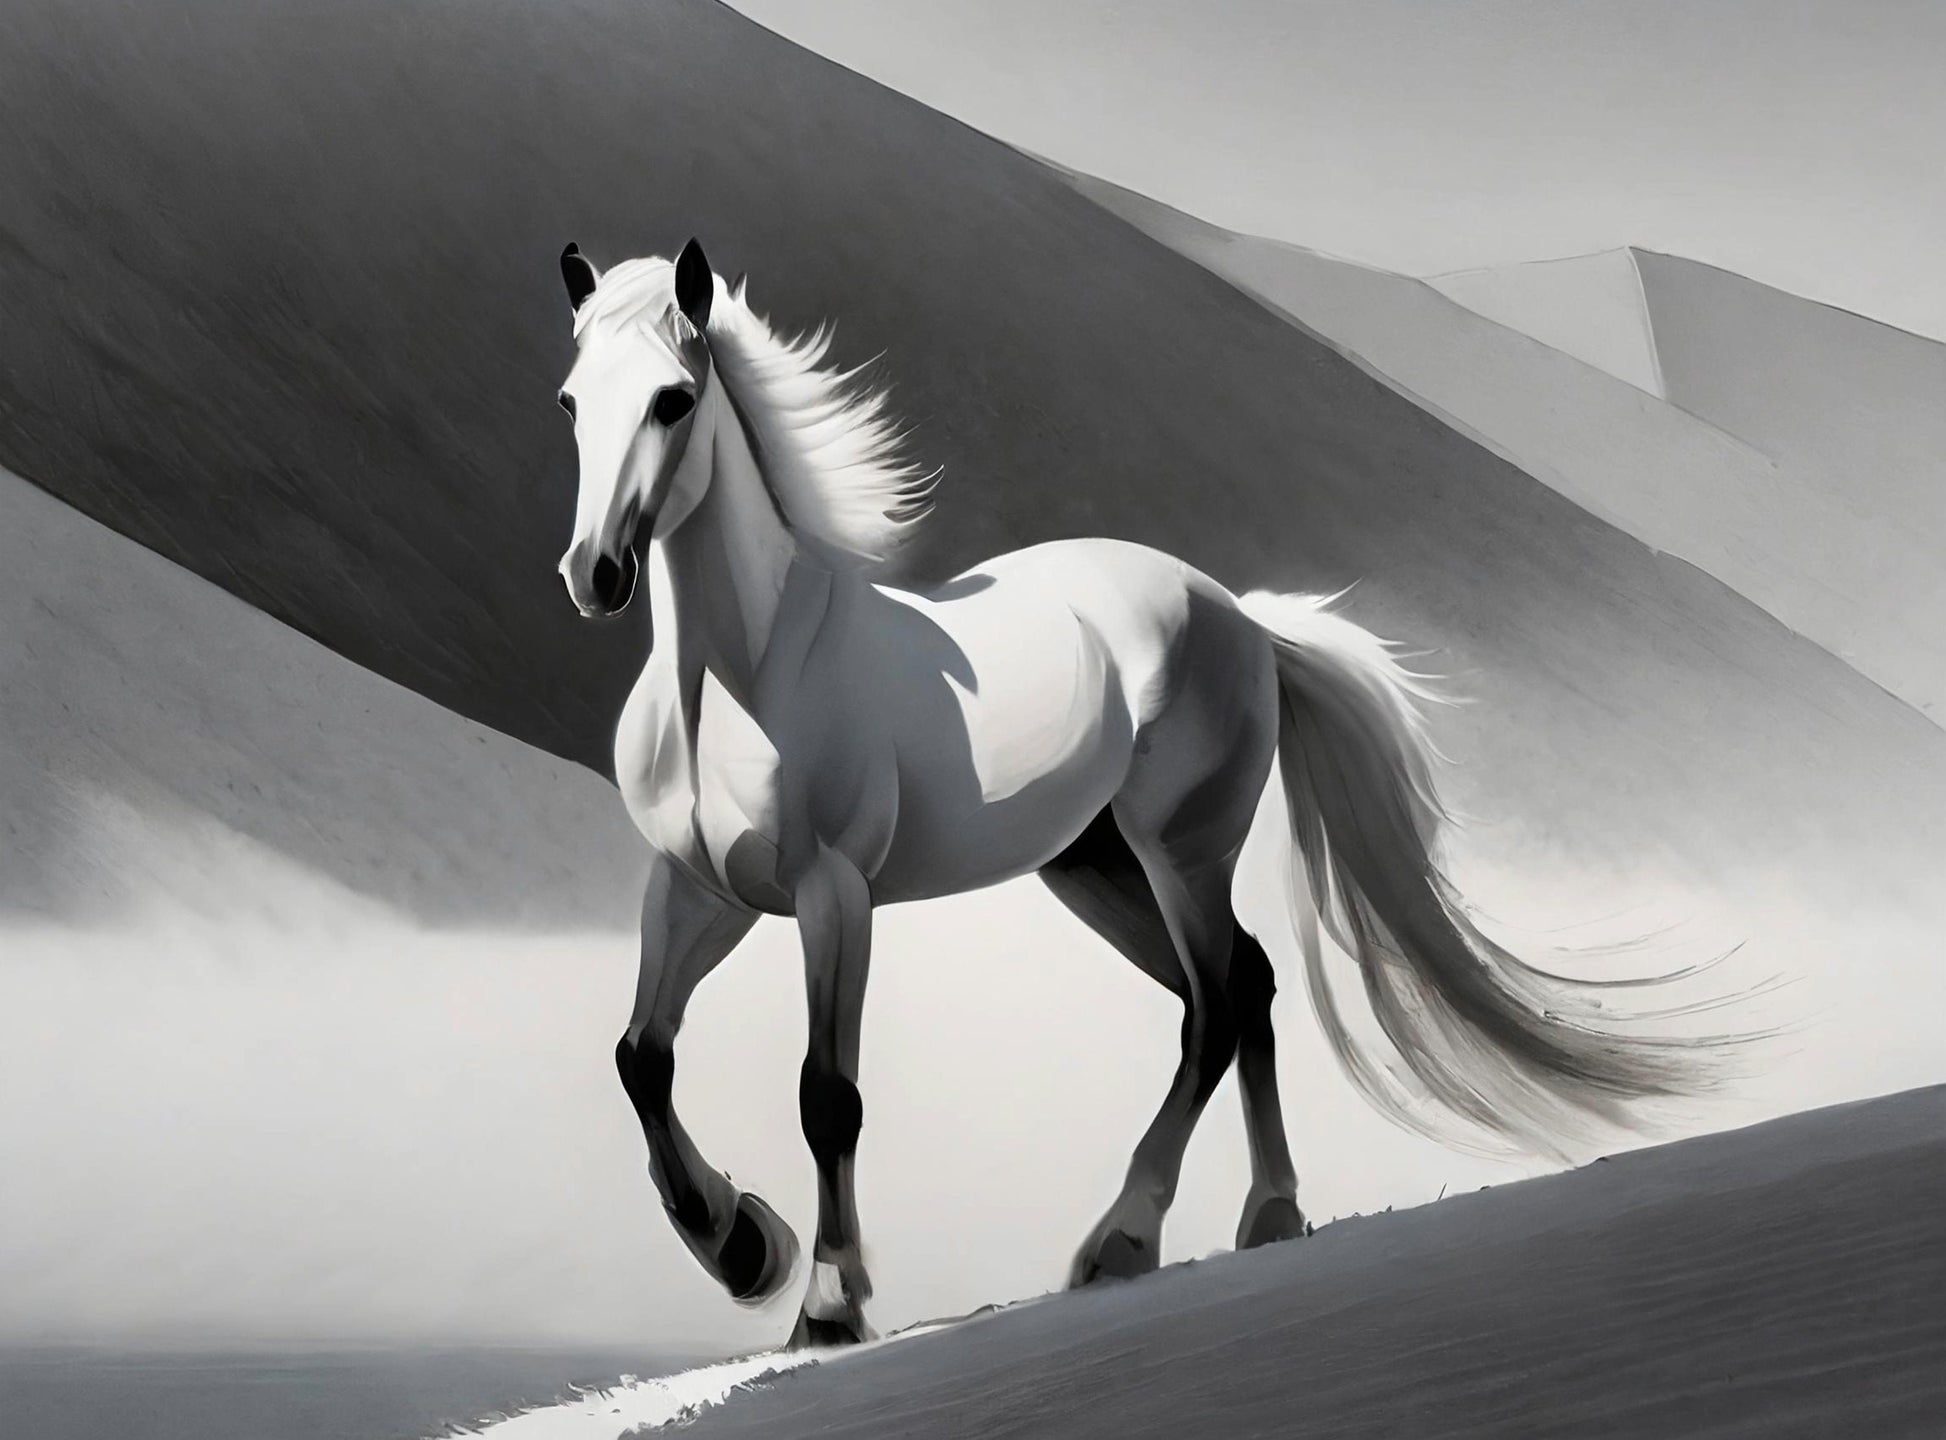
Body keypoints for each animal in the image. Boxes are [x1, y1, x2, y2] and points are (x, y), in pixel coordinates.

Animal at [551, 238, 1722, 1347]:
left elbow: (825, 1096)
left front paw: (830, 1305)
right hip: (1095, 867)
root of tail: (1241, 614)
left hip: (1178, 852)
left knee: (1216, 1003)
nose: (594, 574)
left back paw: (1126, 1239)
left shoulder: (831, 896)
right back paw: (1268, 1214)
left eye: (673, 399)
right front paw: (742, 1245)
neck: (744, 678)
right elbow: (639, 1058)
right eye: (569, 399)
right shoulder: (698, 890)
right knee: (1239, 985)